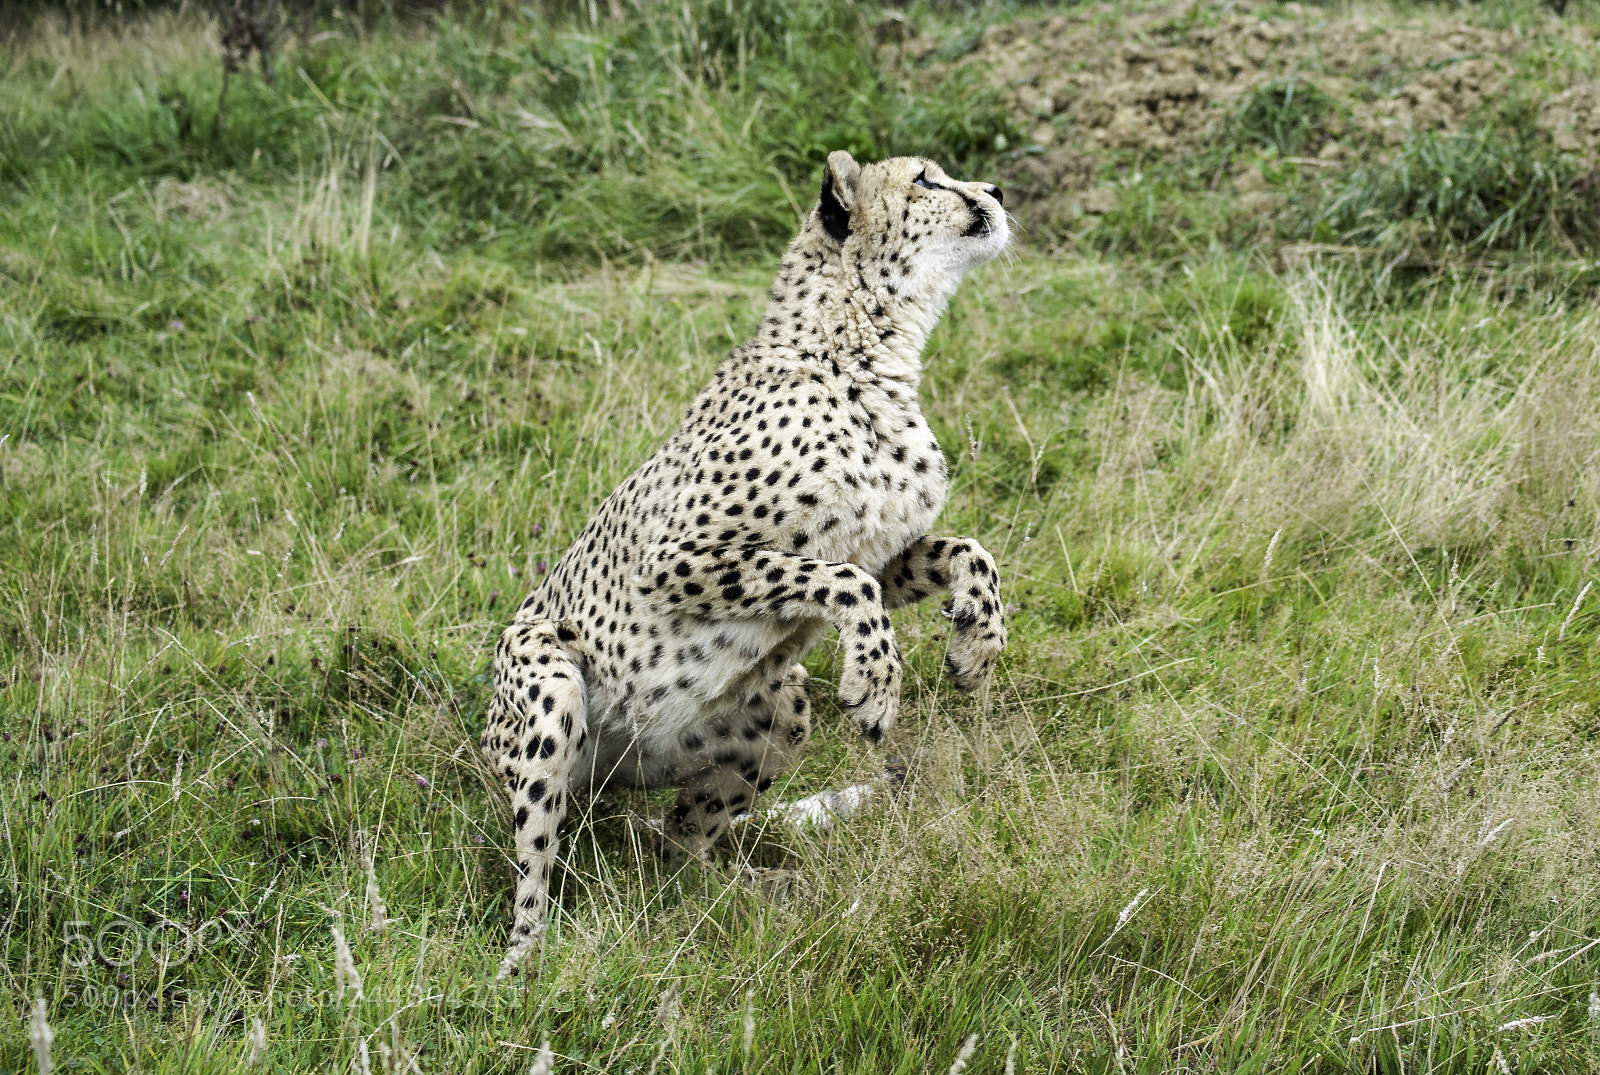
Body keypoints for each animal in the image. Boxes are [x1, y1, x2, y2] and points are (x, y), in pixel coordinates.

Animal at [481, 150, 1010, 979]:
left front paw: (976, 645)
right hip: (546, 694)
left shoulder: (881, 544)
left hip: (777, 707)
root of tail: (606, 790)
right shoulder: (675, 558)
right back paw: (518, 972)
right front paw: (876, 685)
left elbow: (964, 553)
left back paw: (743, 894)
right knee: (535, 862)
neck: (868, 346)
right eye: (925, 179)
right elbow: (846, 584)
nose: (995, 191)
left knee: (679, 847)